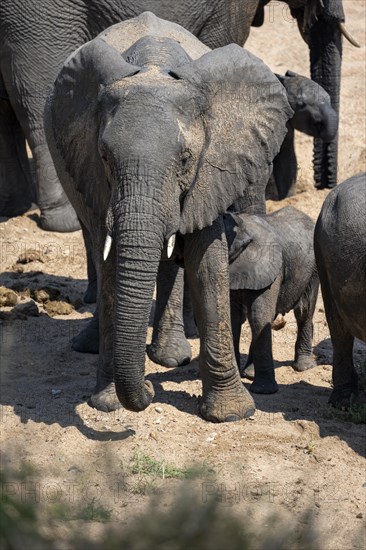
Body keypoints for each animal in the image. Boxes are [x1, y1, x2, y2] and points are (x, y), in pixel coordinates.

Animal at [45, 15, 292, 424]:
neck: (154, 67)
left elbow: (207, 265)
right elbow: (113, 265)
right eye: (104, 156)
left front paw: (231, 414)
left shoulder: (212, 170)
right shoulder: (95, 173)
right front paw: (109, 403)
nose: (148, 389)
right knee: (96, 242)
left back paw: (170, 357)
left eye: (186, 159)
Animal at [224, 206, 318, 392]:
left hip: (314, 267)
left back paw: (303, 367)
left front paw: (262, 390)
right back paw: (249, 373)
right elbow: (232, 317)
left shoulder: (270, 265)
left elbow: (259, 316)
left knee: (304, 310)